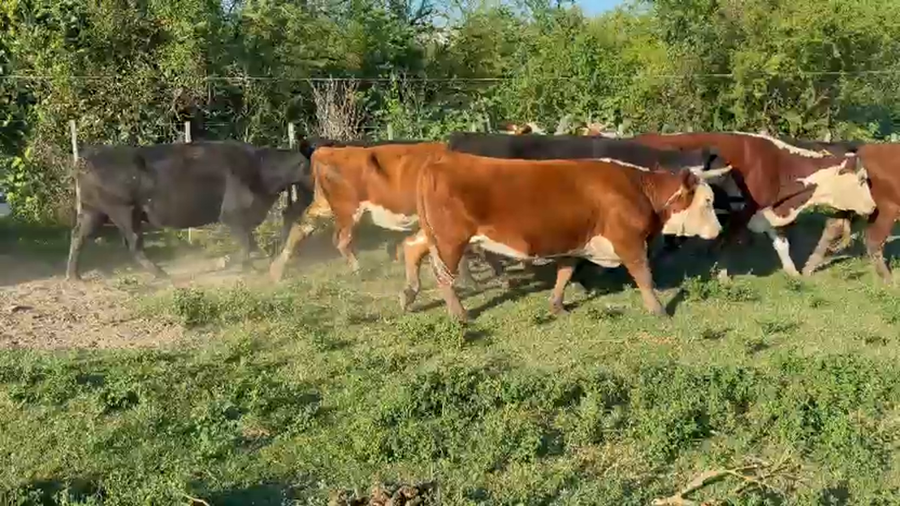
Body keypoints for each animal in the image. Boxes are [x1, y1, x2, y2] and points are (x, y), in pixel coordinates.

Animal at [67, 140, 310, 281]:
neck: (258, 166)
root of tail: (87, 159)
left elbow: (249, 242)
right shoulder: (232, 215)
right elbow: (246, 242)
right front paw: (247, 266)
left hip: (93, 212)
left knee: (78, 236)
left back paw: (74, 276)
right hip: (124, 213)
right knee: (134, 245)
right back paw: (163, 275)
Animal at [408, 150, 730, 322]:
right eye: (707, 201)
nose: (719, 230)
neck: (636, 188)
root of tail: (441, 160)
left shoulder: (575, 245)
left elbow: (564, 273)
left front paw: (557, 305)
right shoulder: (629, 242)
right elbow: (644, 276)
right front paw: (658, 309)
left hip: (437, 236)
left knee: (412, 247)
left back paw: (408, 294)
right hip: (450, 241)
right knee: (443, 276)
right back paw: (459, 313)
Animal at [627, 132, 877, 278]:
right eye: (862, 179)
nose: (874, 207)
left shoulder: (767, 211)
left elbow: (782, 244)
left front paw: (793, 273)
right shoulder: (740, 214)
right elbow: (725, 245)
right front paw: (723, 276)